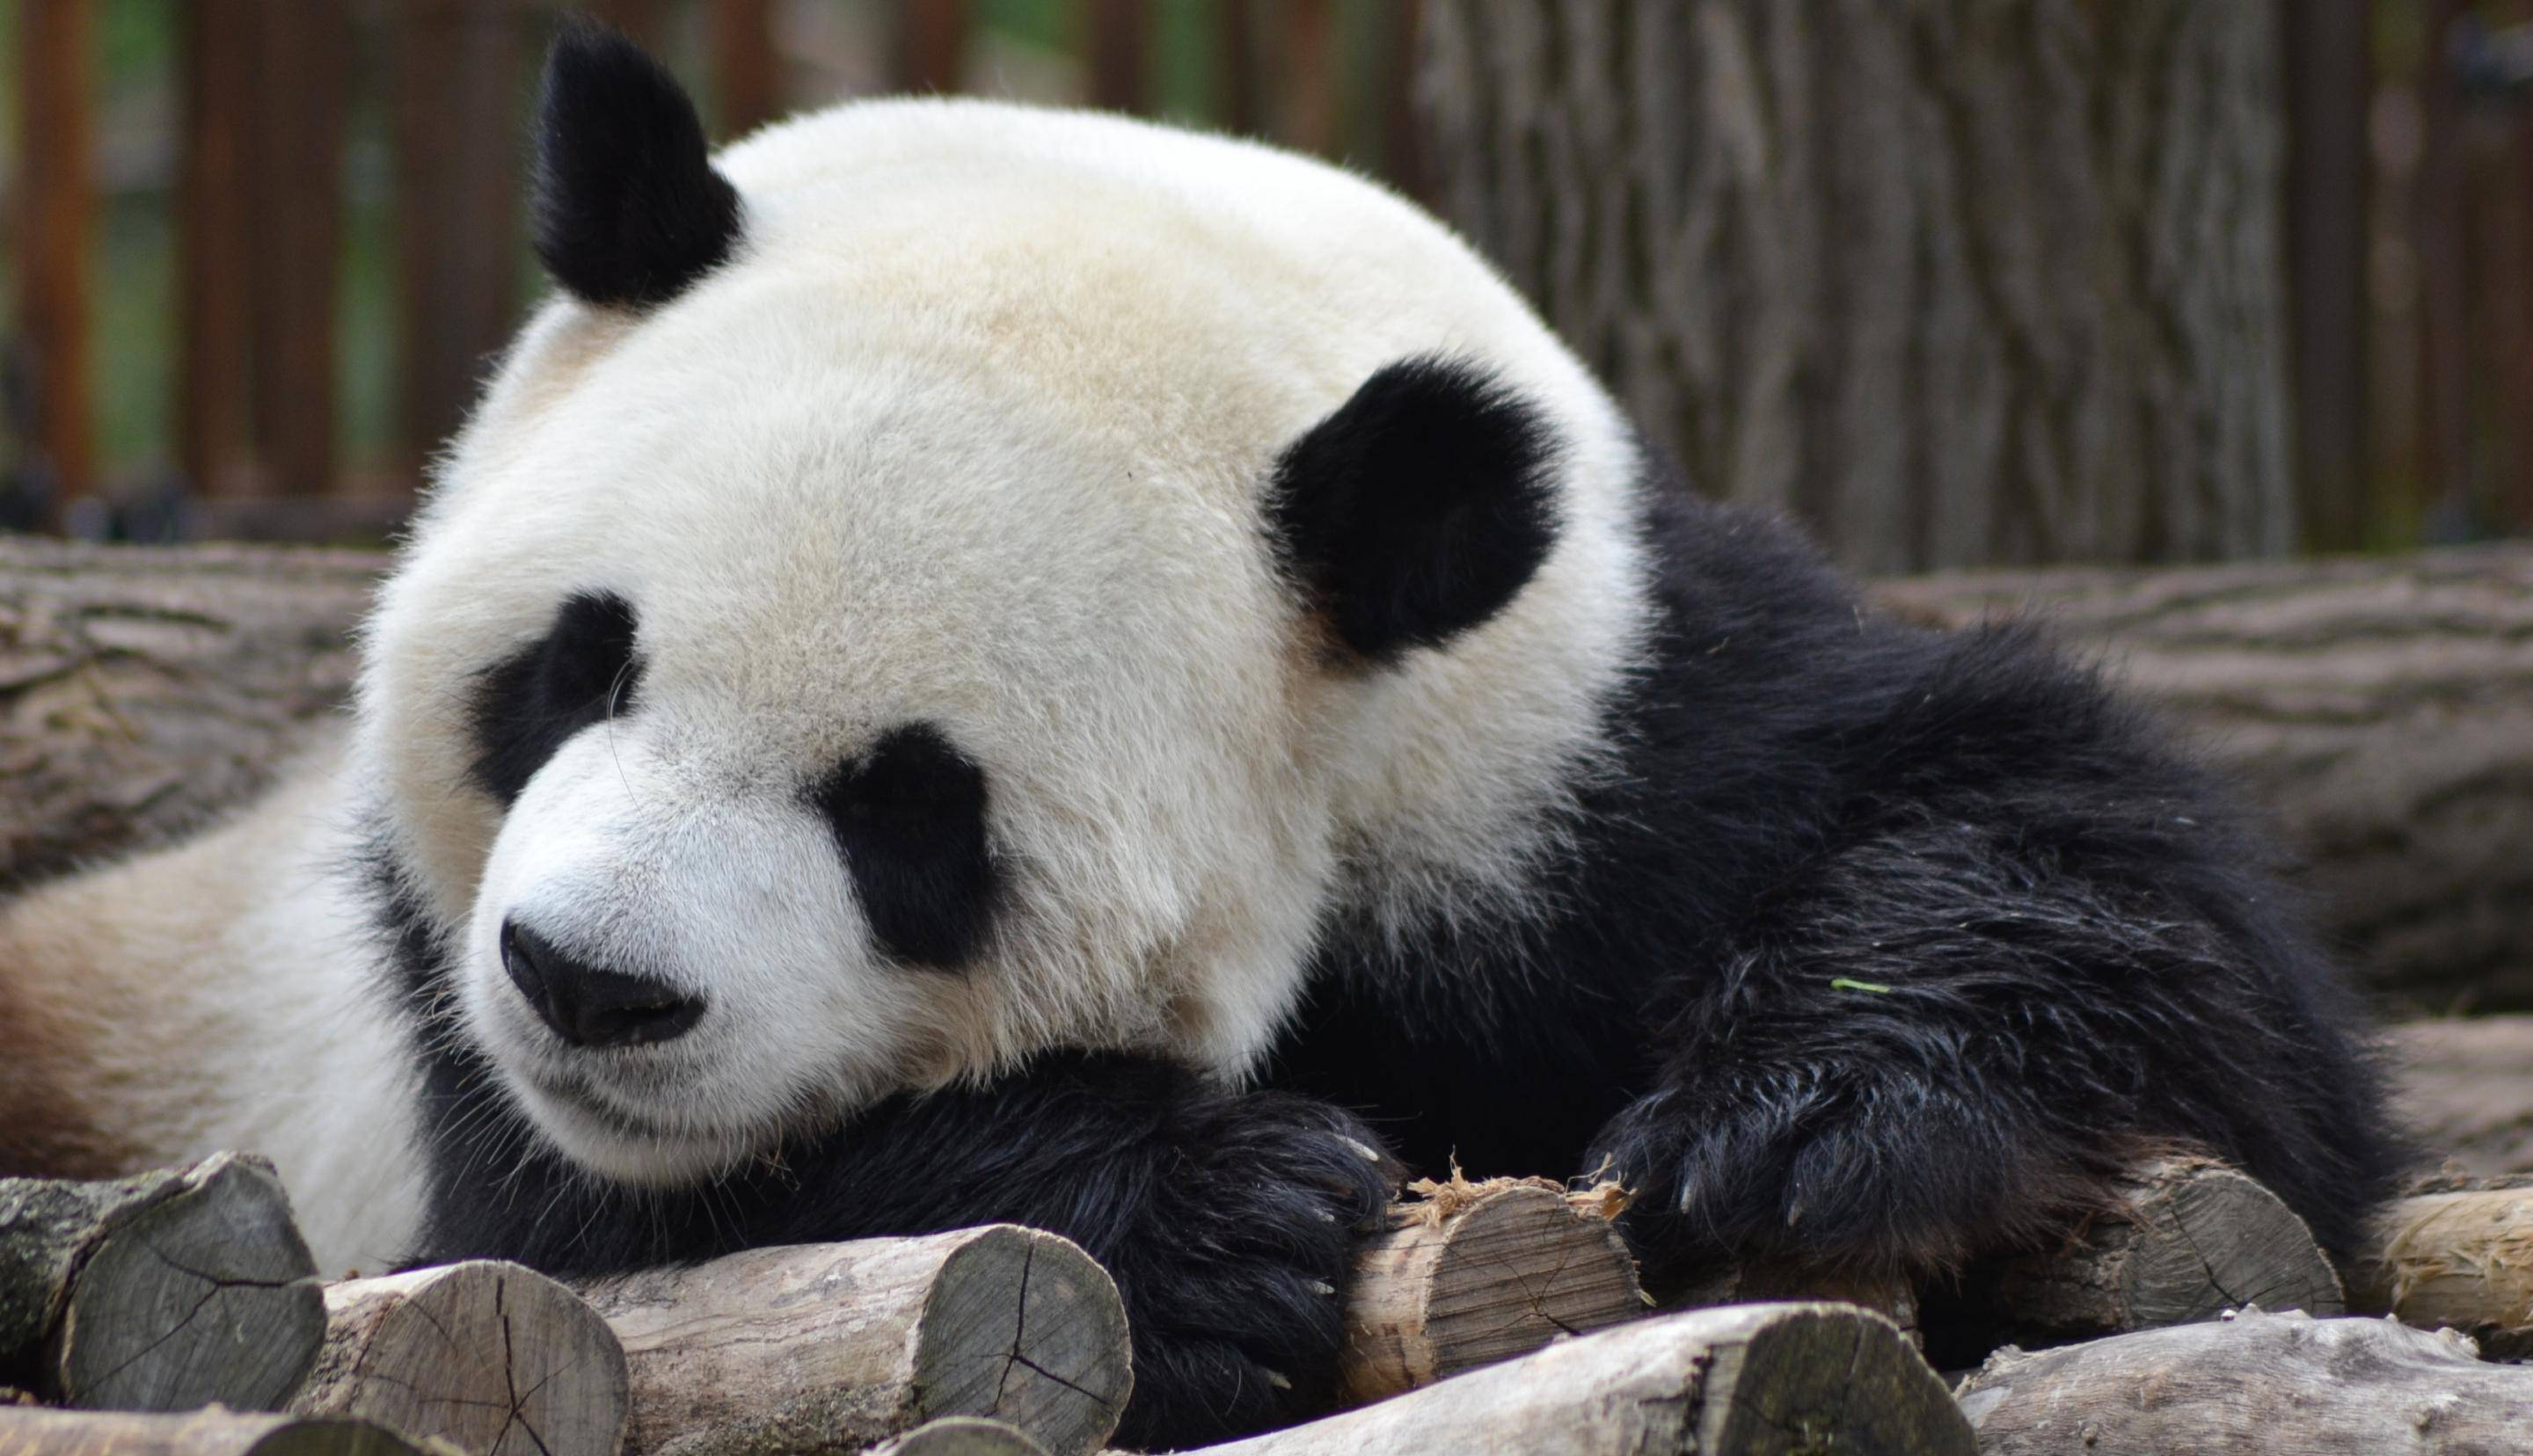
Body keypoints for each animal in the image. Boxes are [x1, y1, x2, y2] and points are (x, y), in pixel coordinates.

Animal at [0, 22, 2401, 1448]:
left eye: (912, 811)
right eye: (576, 668)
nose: (591, 984)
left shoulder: (1595, 729)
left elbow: (2117, 892)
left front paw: (1812, 1115)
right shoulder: (424, 1052)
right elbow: (605, 1241)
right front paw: (1225, 1210)